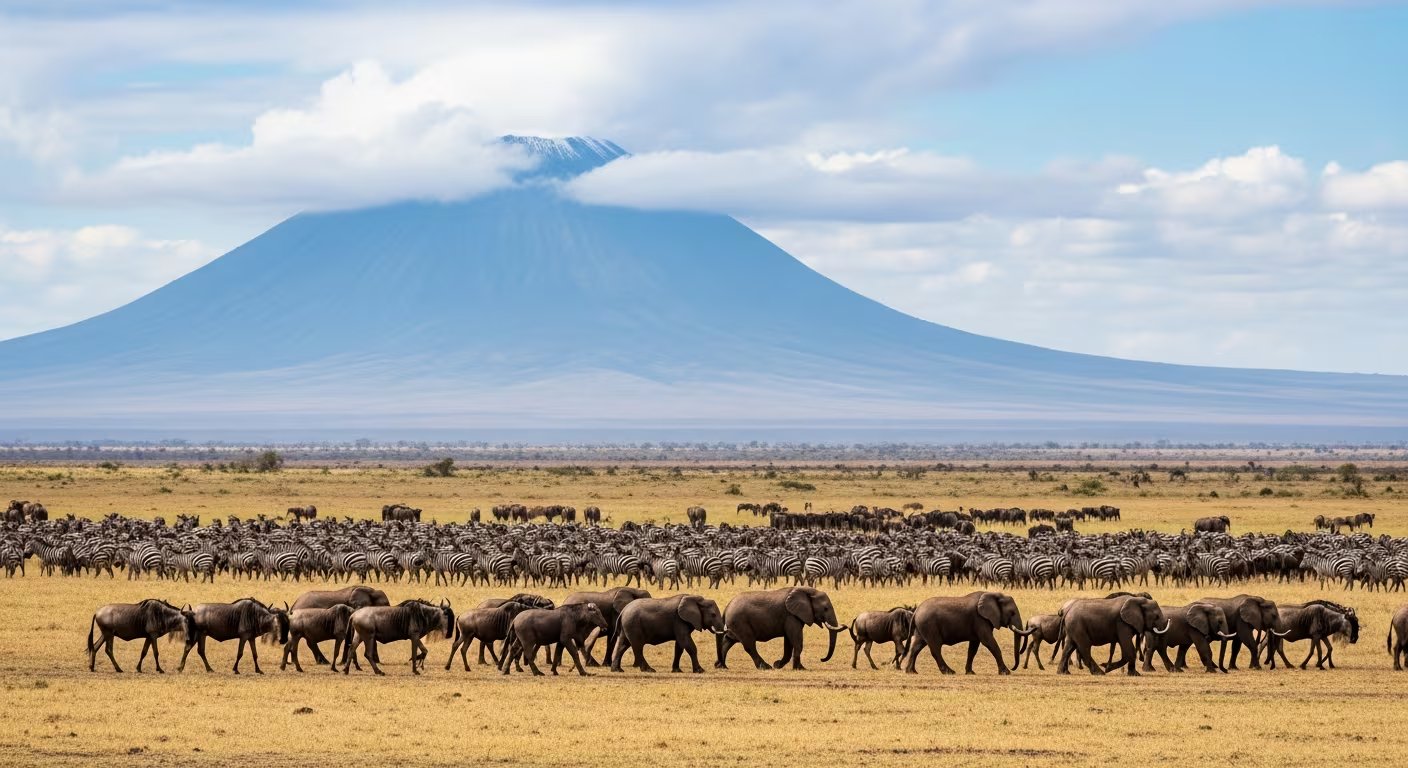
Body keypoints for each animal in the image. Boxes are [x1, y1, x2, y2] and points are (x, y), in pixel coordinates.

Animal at [715, 586, 848, 670]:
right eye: (825, 608)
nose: (821, 659)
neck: (808, 590)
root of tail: (726, 607)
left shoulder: (792, 617)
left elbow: (789, 642)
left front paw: (778, 665)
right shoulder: (791, 616)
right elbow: (796, 640)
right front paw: (800, 669)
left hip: (735, 624)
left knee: (728, 641)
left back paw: (720, 666)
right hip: (740, 622)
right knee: (749, 645)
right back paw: (765, 667)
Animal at [903, 591, 1035, 675]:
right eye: (1012, 613)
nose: (1013, 667)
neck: (994, 594)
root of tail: (916, 611)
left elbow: (973, 648)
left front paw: (970, 672)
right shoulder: (980, 619)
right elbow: (989, 643)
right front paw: (1006, 672)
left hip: (922, 626)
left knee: (917, 646)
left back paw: (911, 672)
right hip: (929, 625)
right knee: (935, 648)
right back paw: (949, 672)